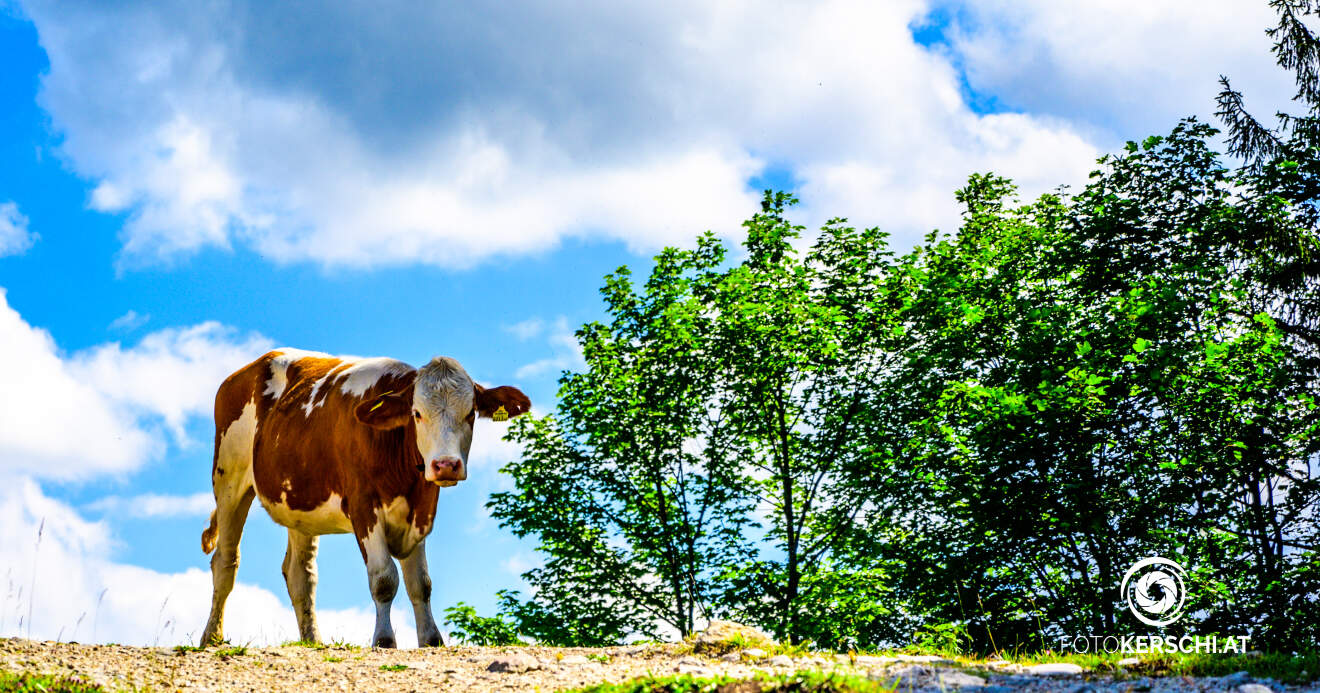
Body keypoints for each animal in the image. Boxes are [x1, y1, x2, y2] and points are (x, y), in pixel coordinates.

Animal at [195, 351, 525, 649]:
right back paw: (212, 637)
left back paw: (312, 641)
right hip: (229, 480)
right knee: (226, 562)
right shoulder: (364, 507)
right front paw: (384, 640)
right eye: (417, 414)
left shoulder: (420, 512)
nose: (445, 465)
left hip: (299, 502)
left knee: (300, 576)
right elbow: (384, 579)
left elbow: (421, 584)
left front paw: (431, 640)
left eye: (470, 414)